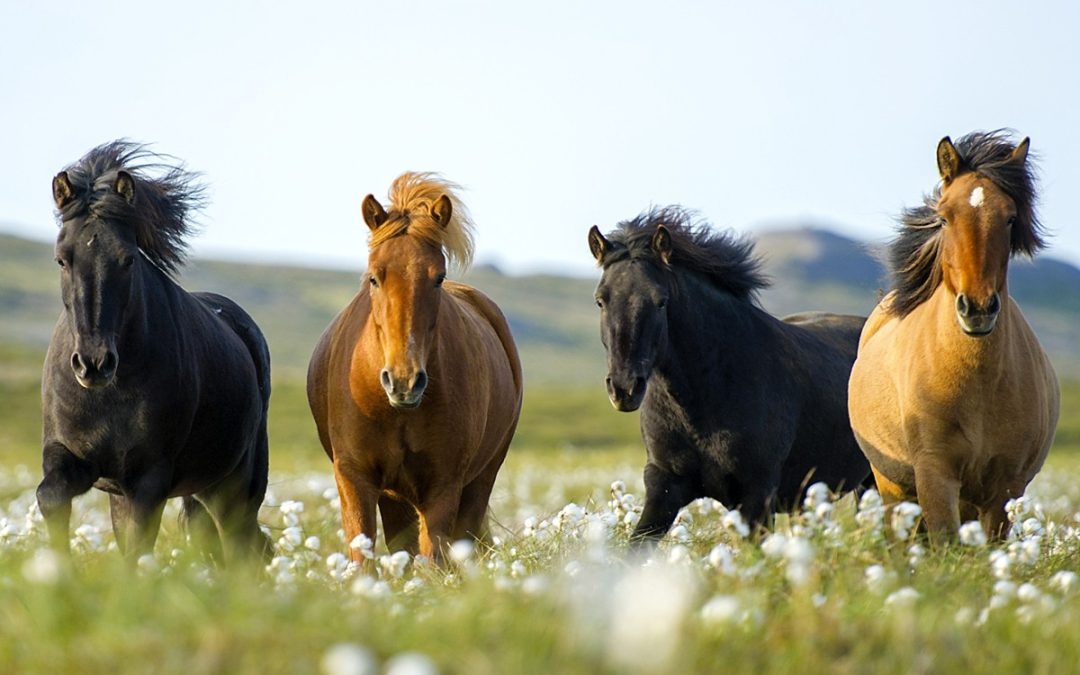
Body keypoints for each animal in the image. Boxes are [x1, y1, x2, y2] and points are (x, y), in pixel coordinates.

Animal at [39, 141, 272, 564]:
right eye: (62, 258)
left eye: (128, 259)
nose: (94, 364)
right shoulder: (71, 457)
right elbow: (50, 496)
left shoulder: (148, 478)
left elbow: (137, 548)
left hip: (236, 484)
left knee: (243, 548)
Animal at [307, 172, 522, 562]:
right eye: (374, 277)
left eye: (438, 277)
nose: (404, 382)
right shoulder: (354, 478)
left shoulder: (442, 485)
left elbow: (435, 560)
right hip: (395, 498)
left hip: (478, 481)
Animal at [848, 130, 1059, 542]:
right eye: (944, 217)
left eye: (1010, 218)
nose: (976, 309)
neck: (977, 382)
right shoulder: (935, 474)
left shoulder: (1003, 490)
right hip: (893, 487)